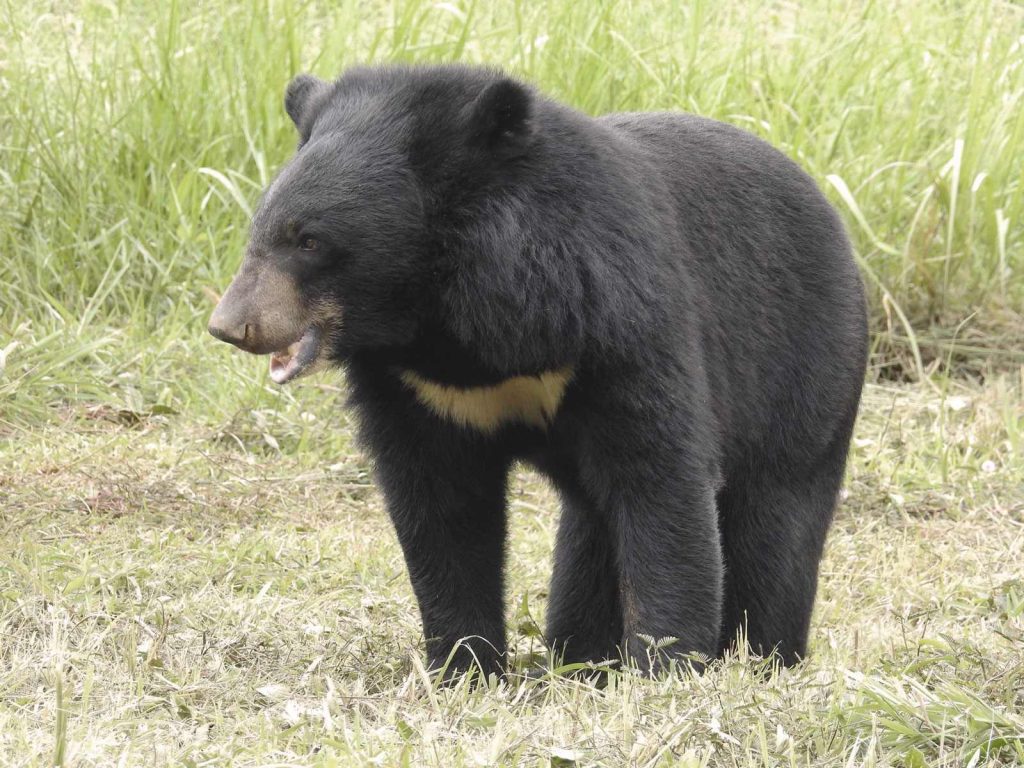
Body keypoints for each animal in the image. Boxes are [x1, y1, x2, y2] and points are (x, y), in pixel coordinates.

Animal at [211, 66, 868, 679]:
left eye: (309, 240)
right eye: (259, 232)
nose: (231, 325)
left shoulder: (618, 319)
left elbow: (661, 478)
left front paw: (666, 667)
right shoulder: (416, 388)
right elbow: (441, 505)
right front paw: (464, 668)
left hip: (803, 370)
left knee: (774, 521)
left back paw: (764, 656)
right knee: (590, 530)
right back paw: (582, 658)